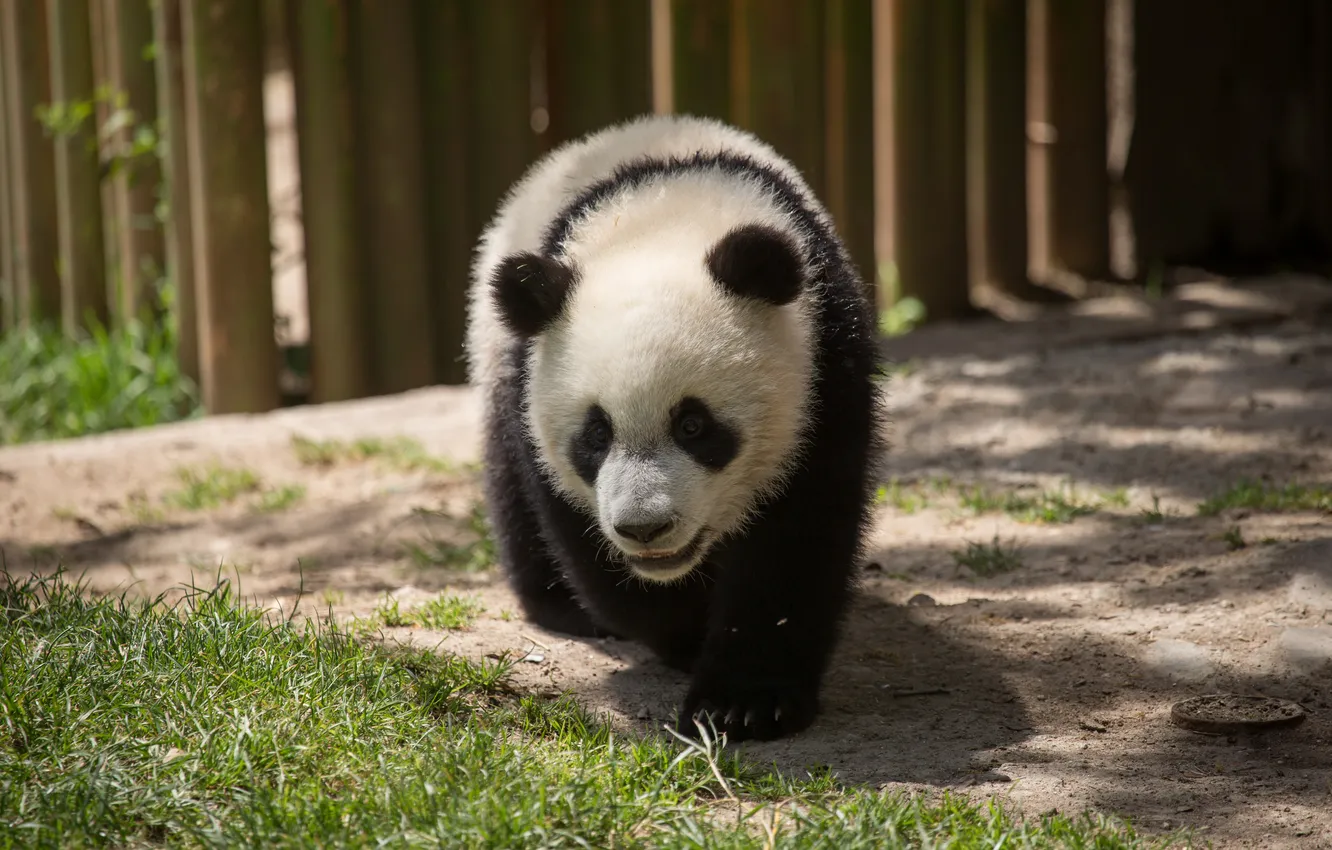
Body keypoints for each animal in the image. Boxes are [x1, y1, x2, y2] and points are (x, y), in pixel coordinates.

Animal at [465, 113, 884, 743]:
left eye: (693, 425)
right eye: (596, 434)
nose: (645, 528)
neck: (663, 221)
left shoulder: (826, 368)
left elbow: (797, 538)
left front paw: (744, 703)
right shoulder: (529, 385)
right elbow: (583, 541)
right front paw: (683, 631)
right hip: (496, 351)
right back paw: (561, 606)